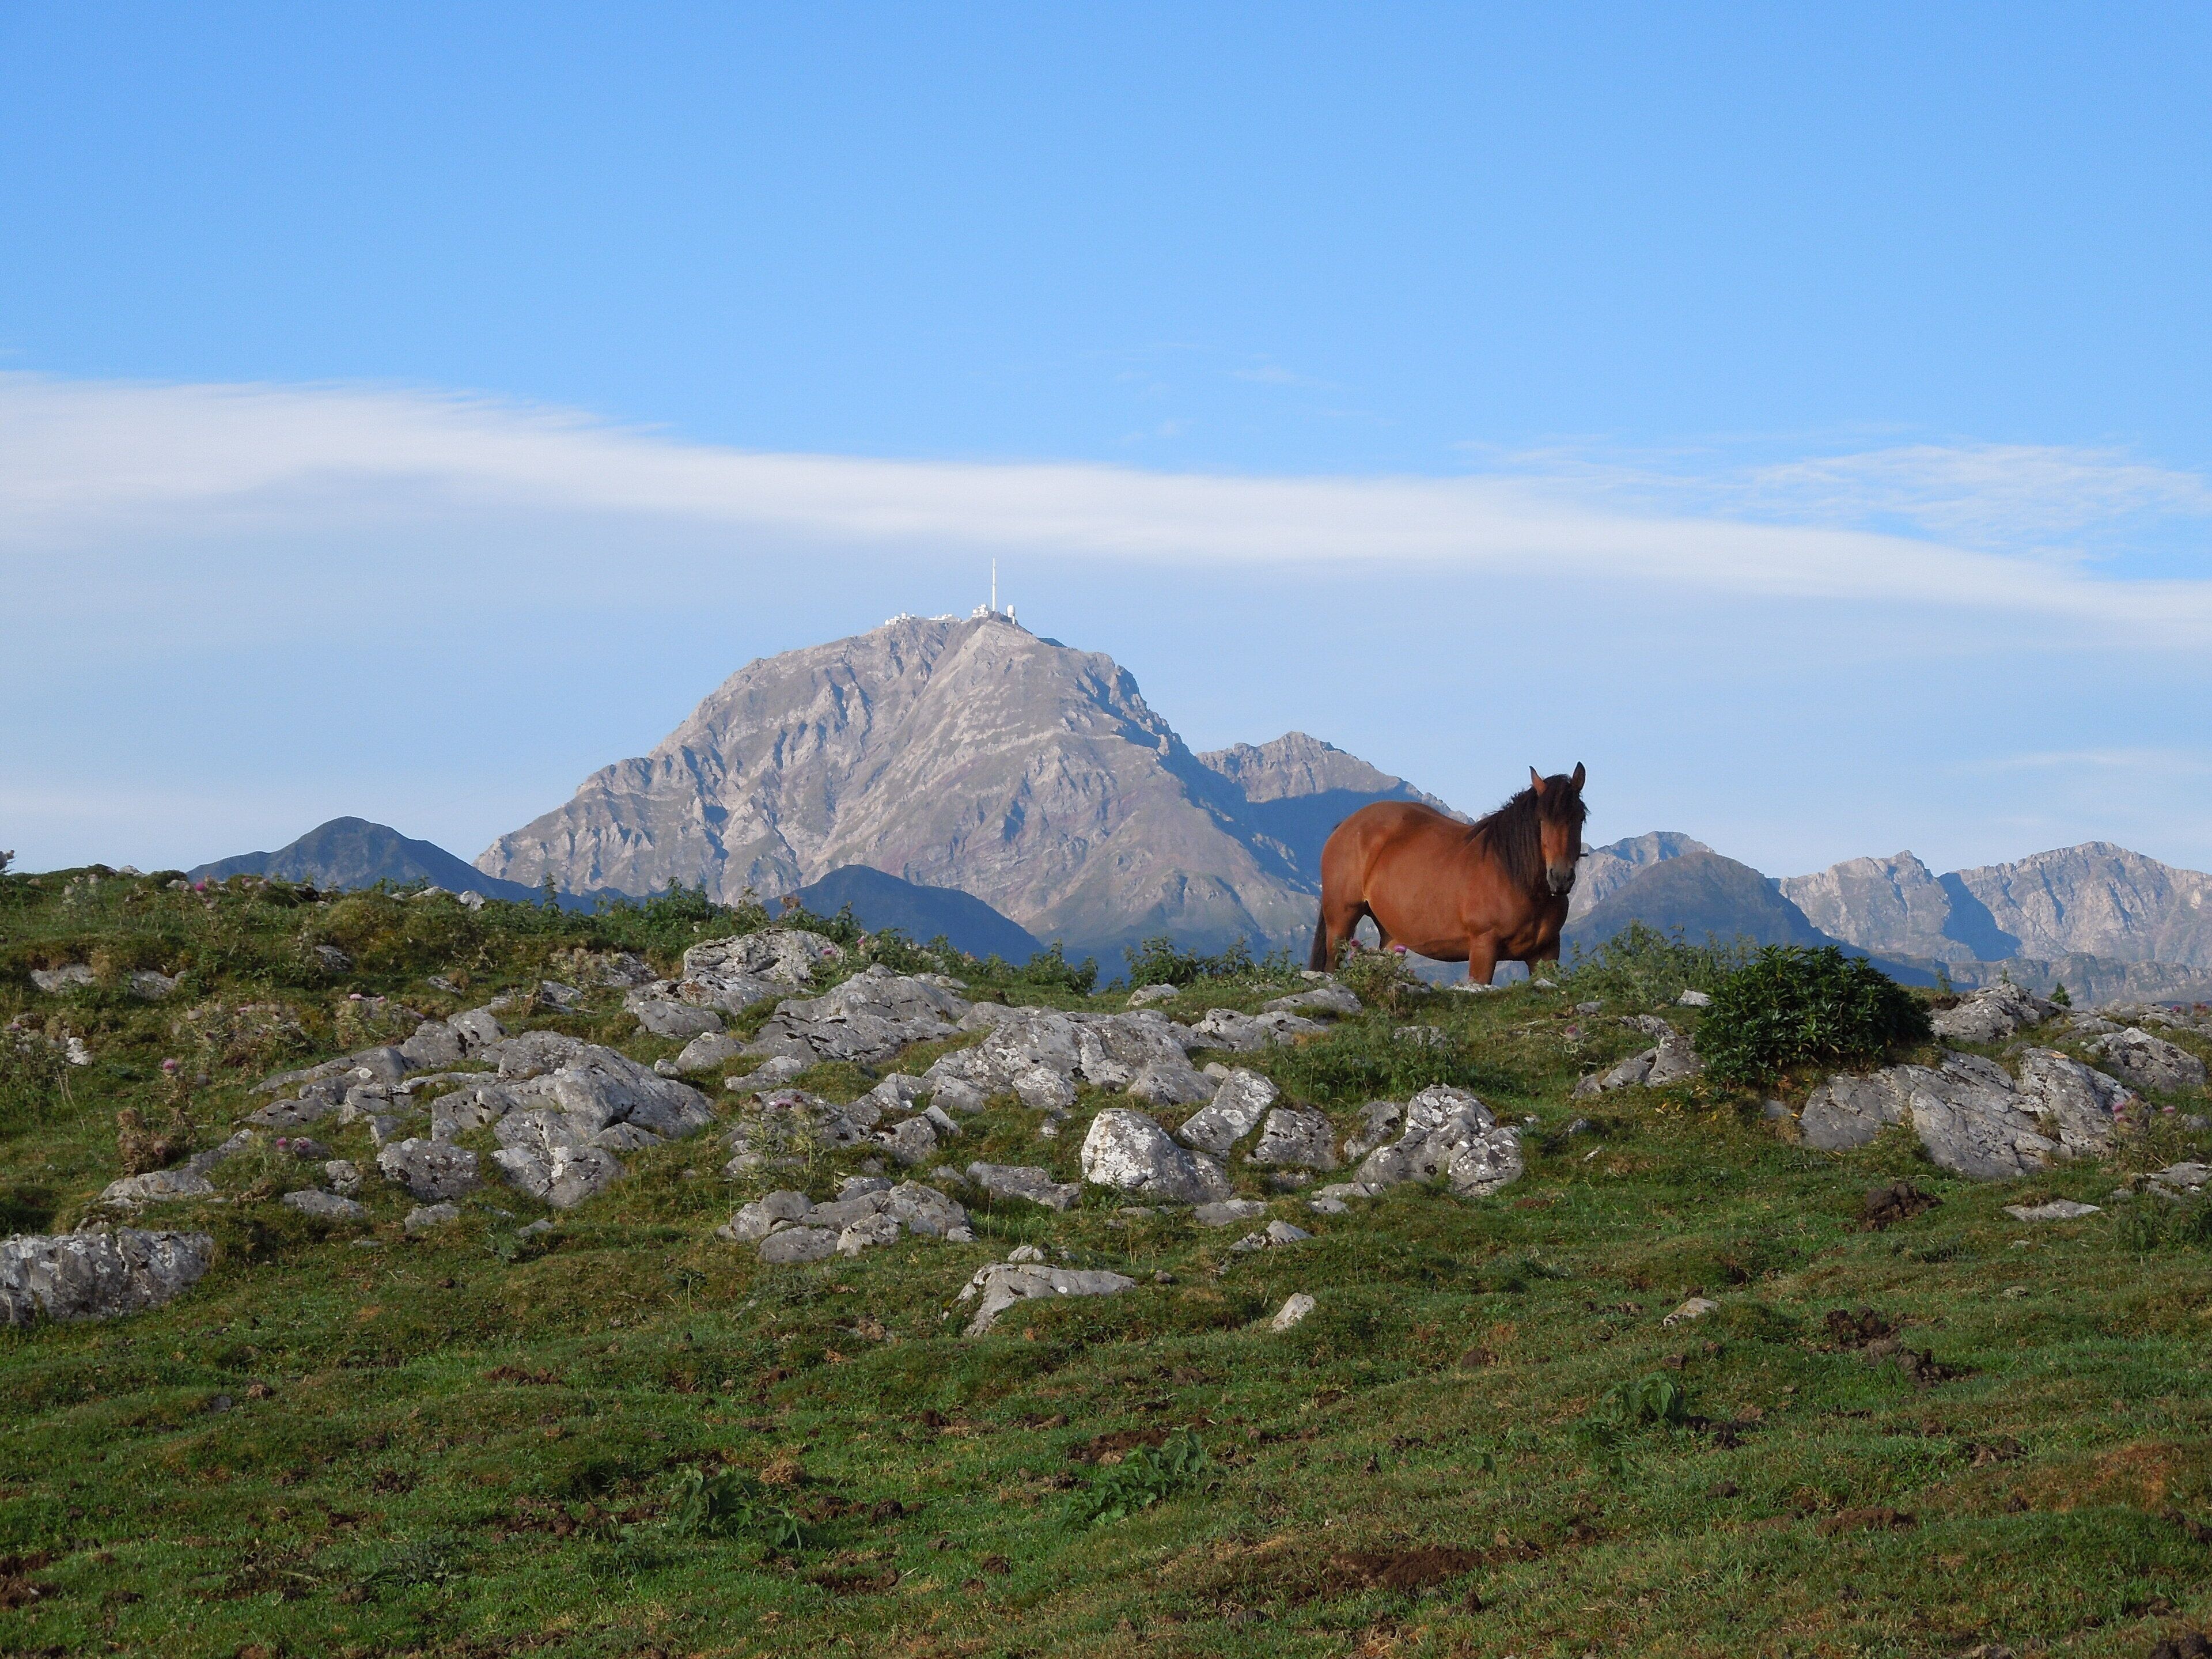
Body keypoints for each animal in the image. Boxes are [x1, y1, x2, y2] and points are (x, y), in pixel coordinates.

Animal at [1310, 764, 1588, 986]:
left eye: (1580, 817)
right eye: (1541, 820)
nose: (1560, 877)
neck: (1515, 879)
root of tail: (1346, 825)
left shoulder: (1547, 953)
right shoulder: (1483, 948)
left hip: (1391, 936)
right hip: (1341, 923)